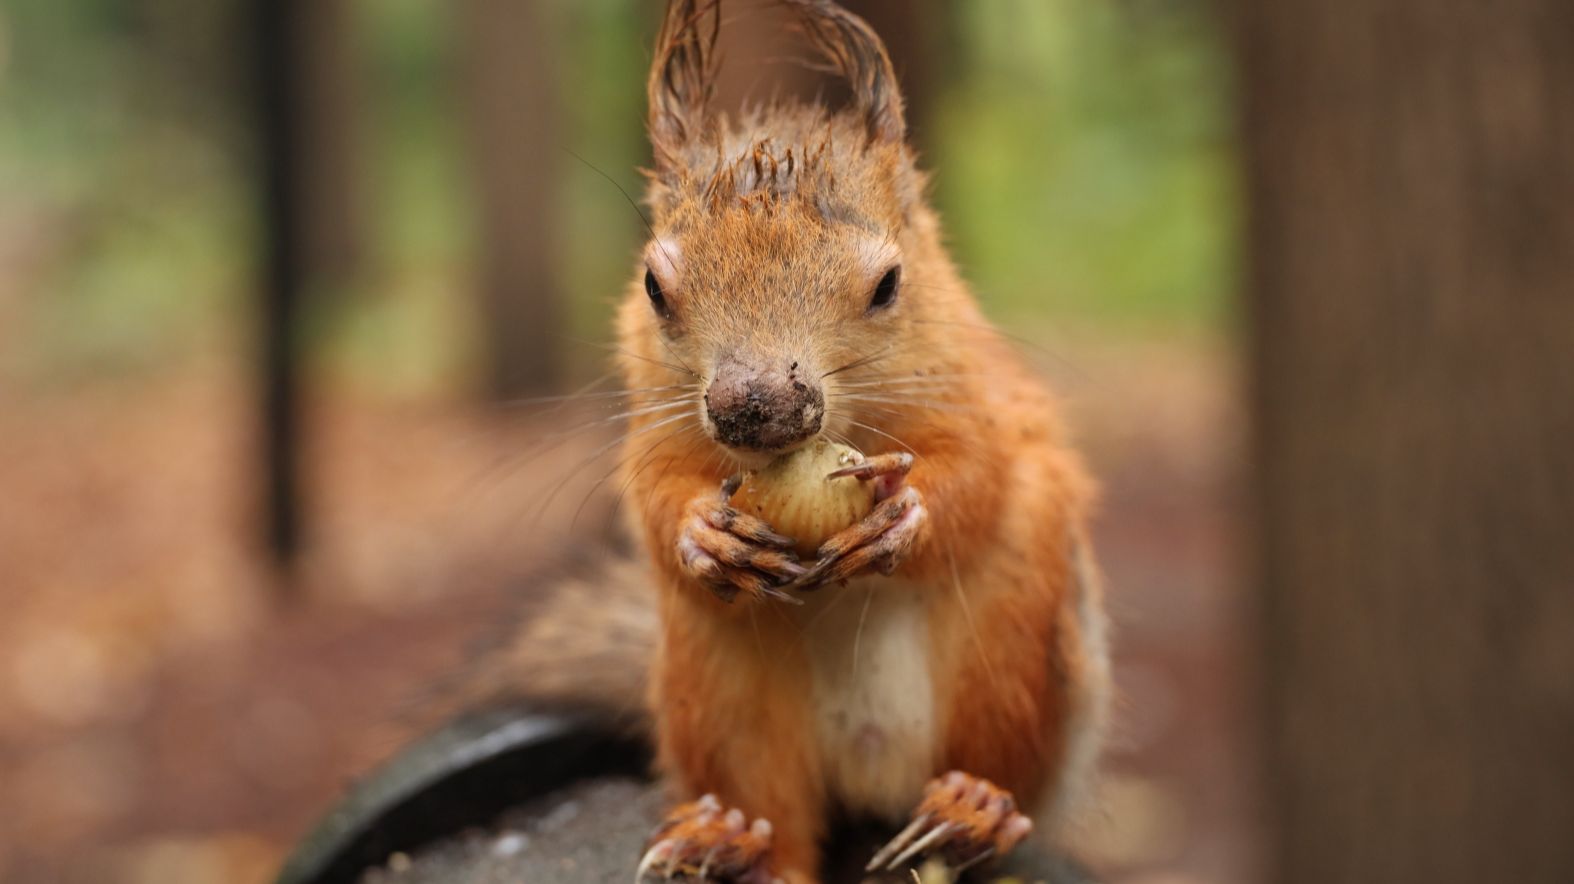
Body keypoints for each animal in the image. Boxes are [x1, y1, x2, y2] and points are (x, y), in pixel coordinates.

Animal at [450, 2, 1111, 882]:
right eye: (654, 287)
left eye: (890, 286)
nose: (754, 406)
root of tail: (869, 768)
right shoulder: (653, 417)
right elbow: (655, 489)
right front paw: (700, 531)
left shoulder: (978, 391)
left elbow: (980, 470)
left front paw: (906, 516)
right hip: (719, 679)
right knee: (774, 812)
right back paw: (733, 838)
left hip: (1014, 638)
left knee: (994, 750)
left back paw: (974, 808)